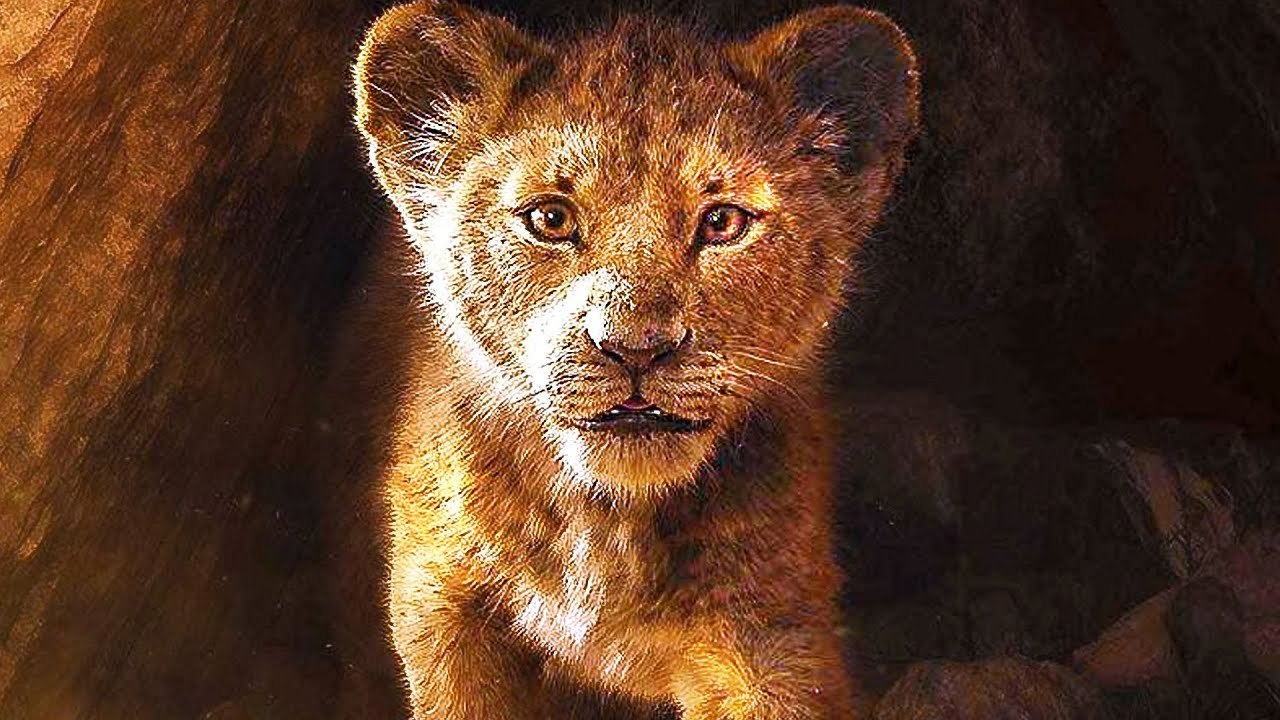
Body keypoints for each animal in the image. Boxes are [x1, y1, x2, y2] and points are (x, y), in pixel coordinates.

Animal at [351, 1, 919, 717]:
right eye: (550, 219)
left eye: (722, 223)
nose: (635, 347)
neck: (605, 522)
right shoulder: (439, 598)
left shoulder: (773, 638)